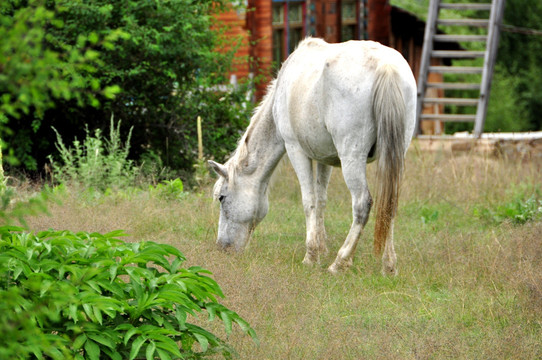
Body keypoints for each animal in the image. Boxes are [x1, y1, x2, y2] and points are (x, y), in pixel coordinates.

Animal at [210, 38, 418, 274]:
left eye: (222, 197)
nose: (222, 248)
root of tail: (385, 65)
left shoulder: (295, 150)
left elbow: (308, 200)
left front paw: (311, 256)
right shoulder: (324, 158)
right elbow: (321, 200)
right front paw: (322, 248)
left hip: (352, 158)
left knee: (362, 204)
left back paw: (340, 262)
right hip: (394, 157)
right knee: (389, 204)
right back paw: (388, 266)